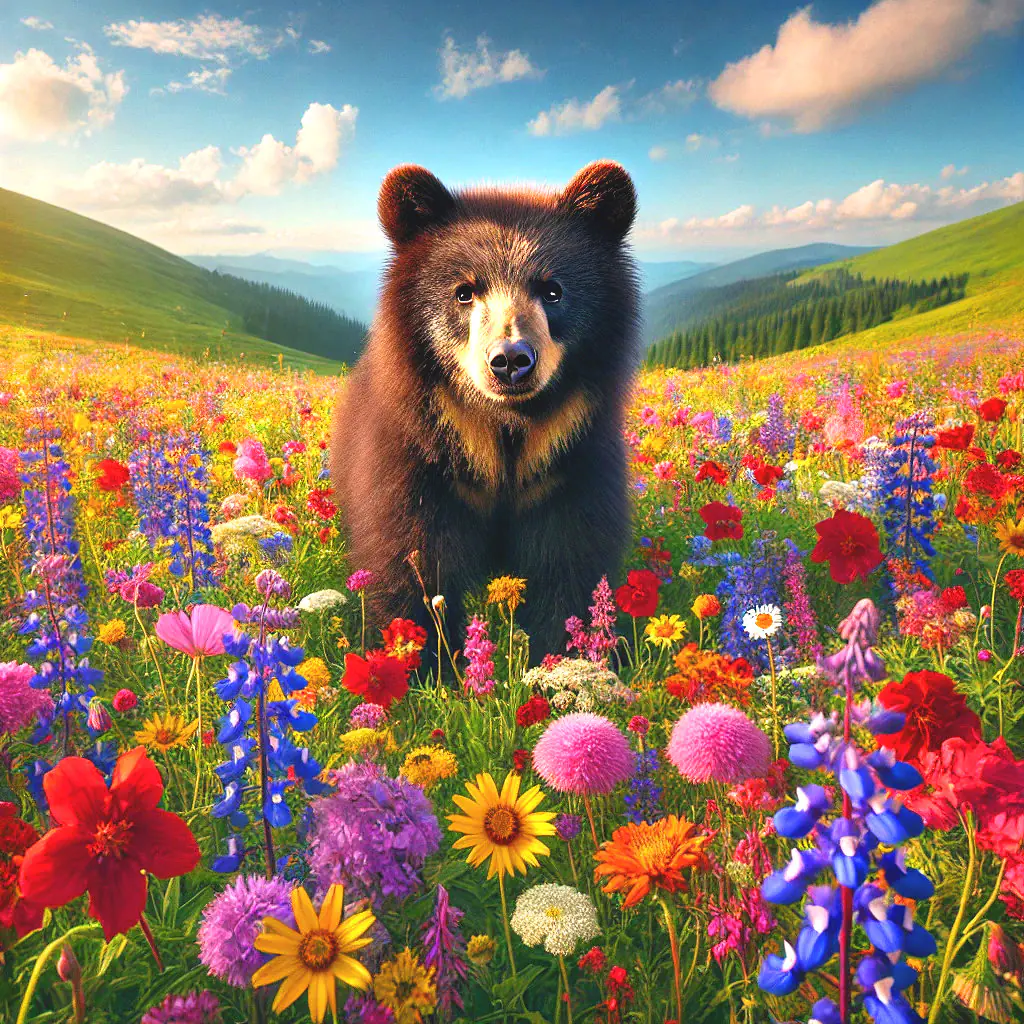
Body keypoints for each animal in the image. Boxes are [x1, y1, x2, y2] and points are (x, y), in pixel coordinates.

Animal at [330, 160, 641, 662]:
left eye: (552, 291)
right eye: (463, 292)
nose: (511, 361)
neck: (504, 432)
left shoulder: (573, 460)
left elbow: (570, 561)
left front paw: (565, 658)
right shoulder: (416, 459)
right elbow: (412, 557)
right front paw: (420, 664)